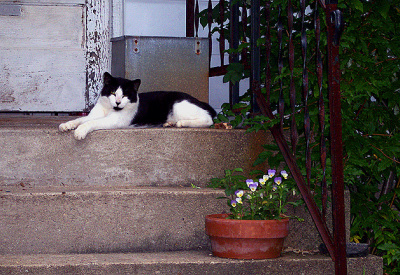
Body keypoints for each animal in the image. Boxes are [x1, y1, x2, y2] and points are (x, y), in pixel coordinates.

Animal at [57, 72, 217, 140]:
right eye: (113, 92)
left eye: (125, 95)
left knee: (208, 119)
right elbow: (81, 119)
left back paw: (181, 123)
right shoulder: (95, 114)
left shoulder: (113, 121)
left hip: (180, 106)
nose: (118, 102)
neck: (109, 109)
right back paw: (169, 123)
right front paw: (67, 125)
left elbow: (91, 123)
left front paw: (79, 131)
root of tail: (199, 100)